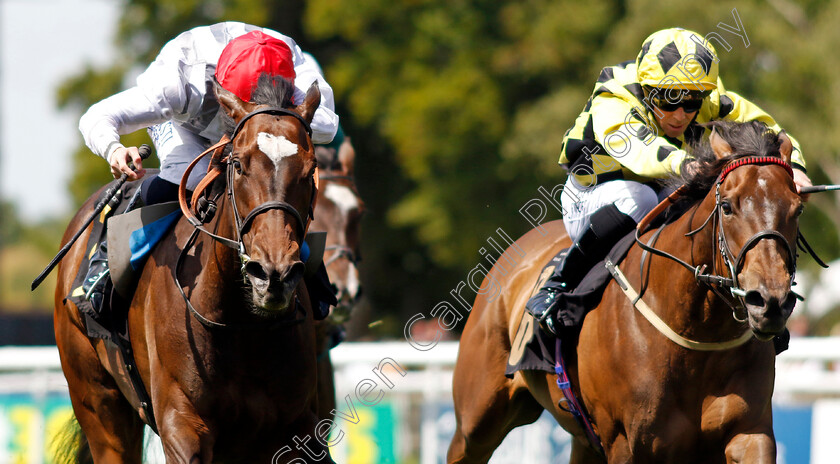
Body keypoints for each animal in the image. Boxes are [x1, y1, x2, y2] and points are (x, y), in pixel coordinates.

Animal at [52, 78, 334, 462]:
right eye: (238, 165)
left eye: (310, 168)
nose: (272, 273)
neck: (240, 323)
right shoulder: (182, 424)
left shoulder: (294, 427)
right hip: (99, 406)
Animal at [450, 120, 804, 464]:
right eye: (727, 207)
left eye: (797, 208)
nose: (769, 302)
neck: (698, 335)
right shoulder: (627, 444)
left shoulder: (750, 433)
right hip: (477, 420)